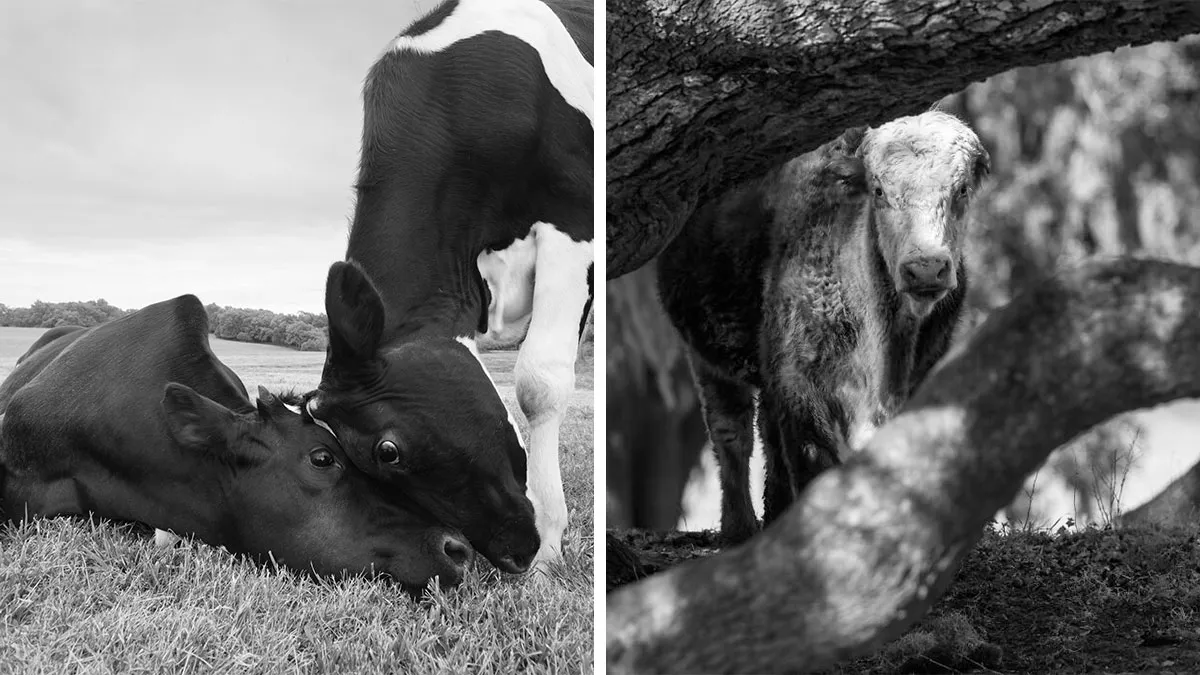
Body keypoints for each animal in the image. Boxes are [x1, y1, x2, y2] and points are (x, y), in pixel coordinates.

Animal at [657, 111, 990, 543]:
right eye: (879, 191)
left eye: (961, 189)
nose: (925, 268)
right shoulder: (801, 383)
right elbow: (814, 463)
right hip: (708, 360)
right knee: (731, 434)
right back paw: (739, 529)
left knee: (766, 435)